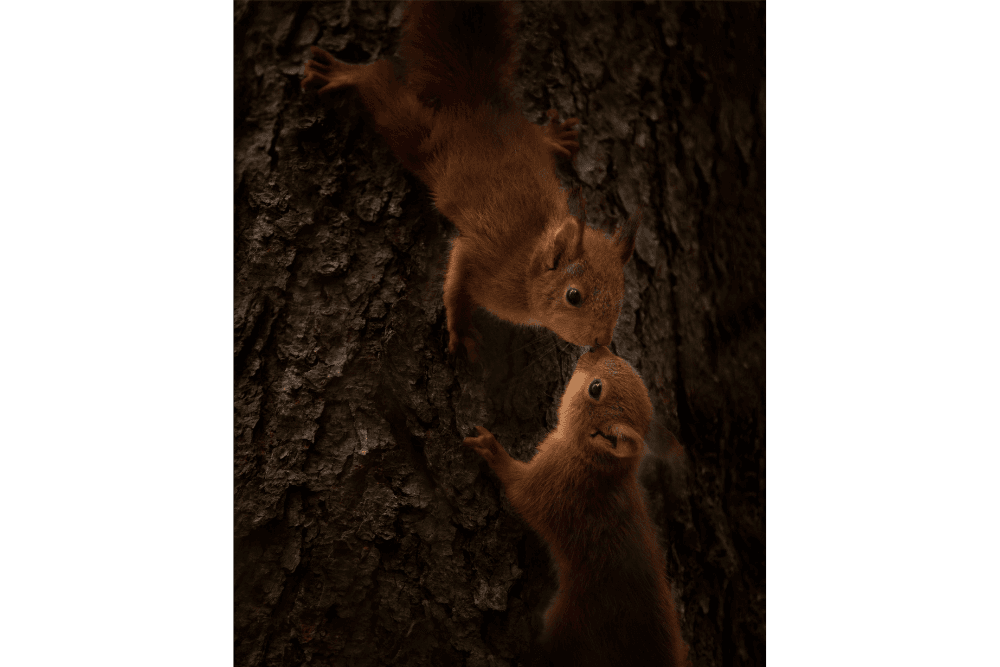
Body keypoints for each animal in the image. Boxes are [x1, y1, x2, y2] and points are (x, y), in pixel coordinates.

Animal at [302, 1, 639, 360]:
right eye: (573, 296)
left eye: (621, 297)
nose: (601, 340)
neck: (527, 264)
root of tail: (478, 103)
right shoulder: (482, 259)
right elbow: (456, 283)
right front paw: (461, 331)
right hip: (427, 140)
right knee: (381, 84)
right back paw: (345, 74)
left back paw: (553, 137)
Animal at [463, 346, 690, 667]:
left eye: (596, 389)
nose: (597, 347)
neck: (595, 464)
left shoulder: (554, 485)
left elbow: (519, 491)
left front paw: (492, 449)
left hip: (574, 623)